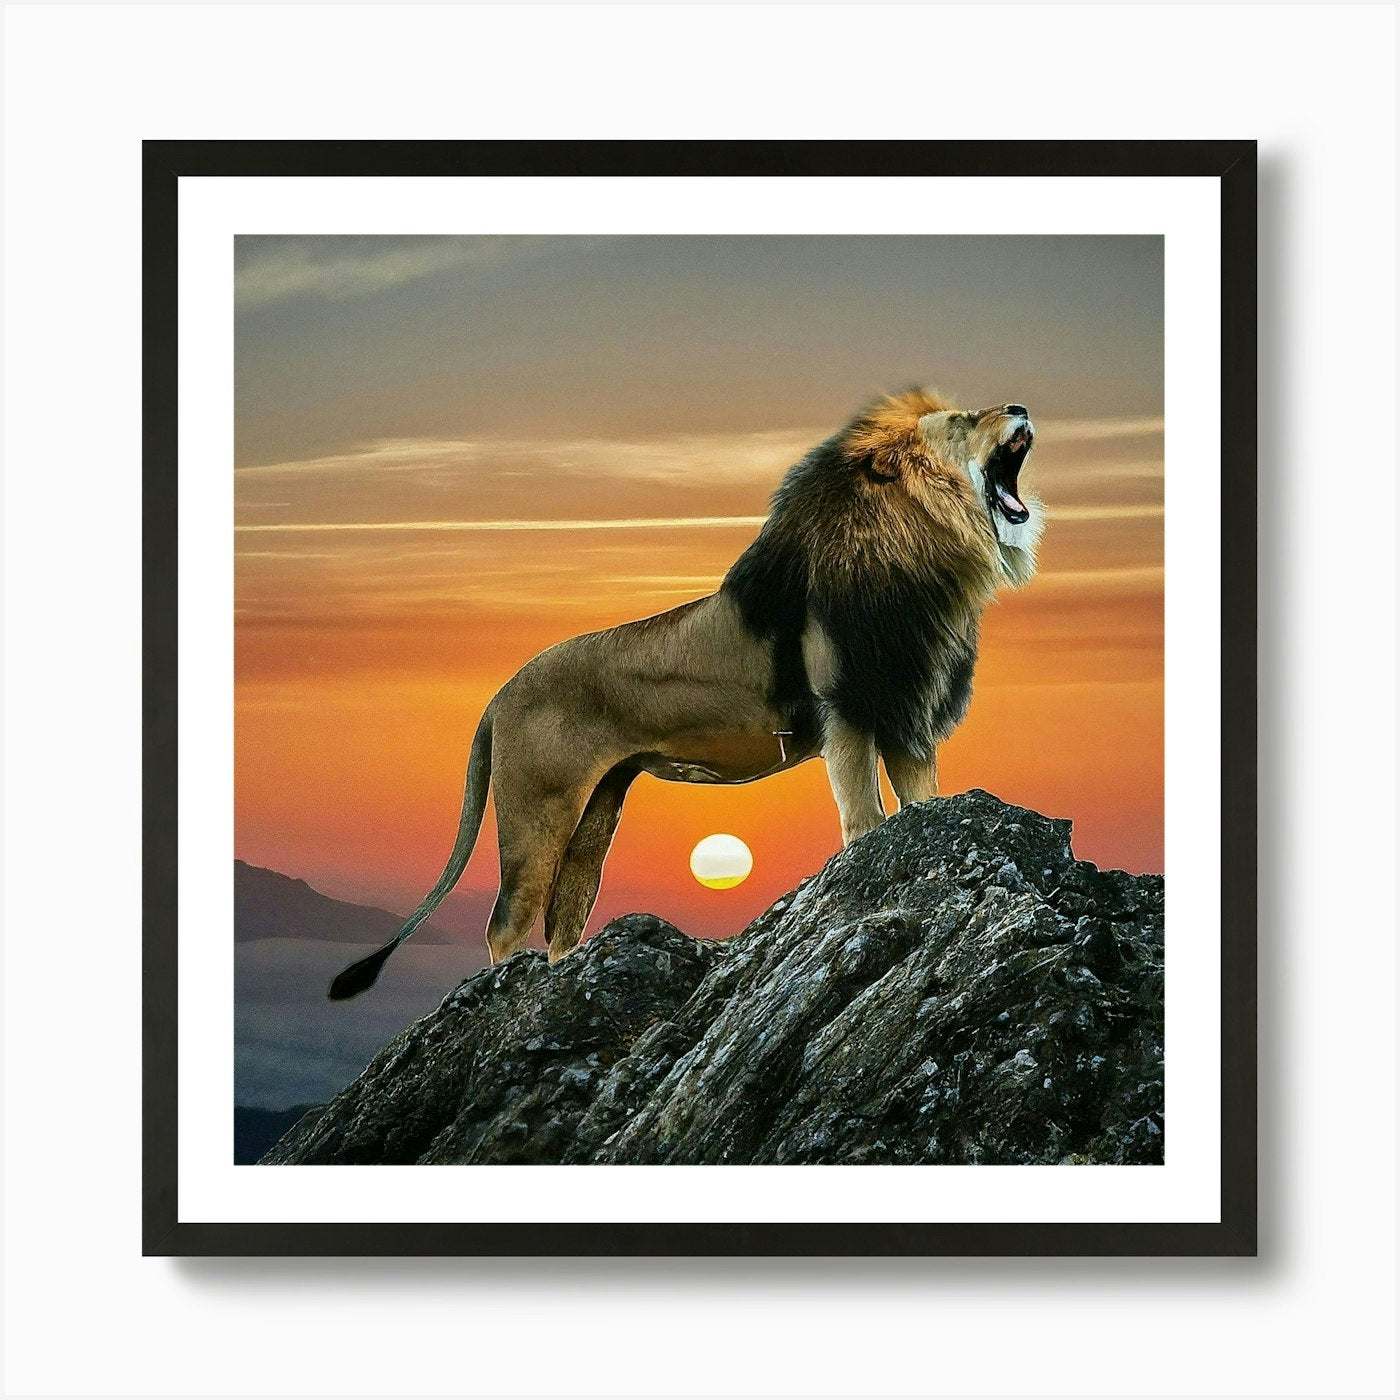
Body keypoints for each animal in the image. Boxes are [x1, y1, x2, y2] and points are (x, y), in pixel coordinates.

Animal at [328, 389, 1043, 999]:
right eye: (962, 420)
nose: (1021, 406)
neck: (924, 559)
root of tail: (499, 693)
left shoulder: (905, 715)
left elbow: (924, 800)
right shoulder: (847, 713)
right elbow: (864, 819)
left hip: (596, 811)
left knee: (564, 919)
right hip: (539, 811)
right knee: (507, 921)